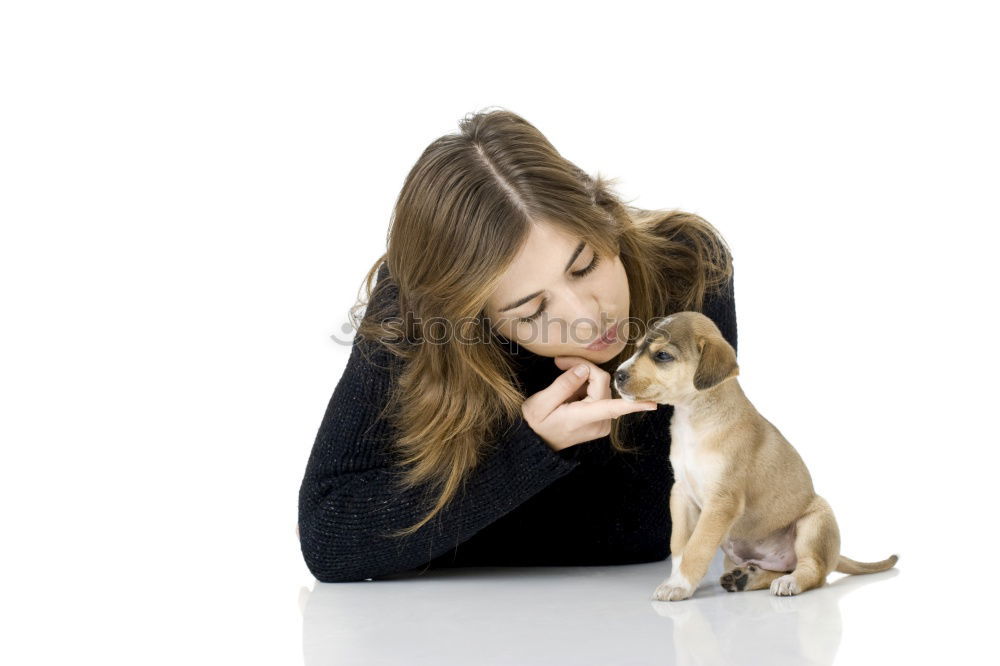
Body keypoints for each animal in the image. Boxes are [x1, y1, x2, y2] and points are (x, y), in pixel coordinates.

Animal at [612, 308, 904, 600]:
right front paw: (676, 578)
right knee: (778, 568)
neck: (695, 419)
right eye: (638, 348)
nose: (617, 375)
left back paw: (789, 582)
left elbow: (697, 547)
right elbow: (680, 545)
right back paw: (745, 578)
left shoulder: (722, 501)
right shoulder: (681, 494)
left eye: (662, 355)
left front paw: (679, 585)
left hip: (816, 521)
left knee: (814, 570)